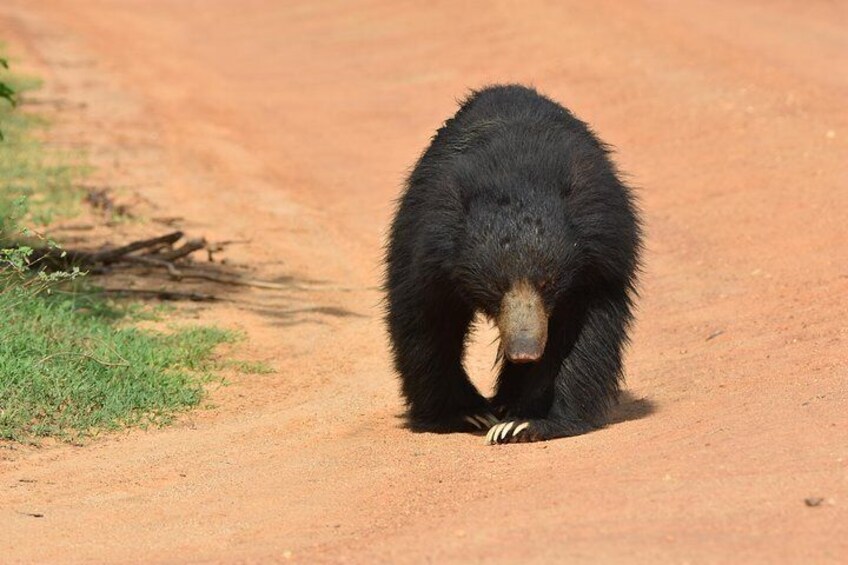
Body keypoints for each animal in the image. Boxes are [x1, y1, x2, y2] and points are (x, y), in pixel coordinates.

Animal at [386, 85, 644, 446]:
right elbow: (426, 320)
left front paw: (526, 423)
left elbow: (586, 336)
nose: (524, 352)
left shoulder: (601, 255)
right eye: (496, 286)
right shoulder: (425, 244)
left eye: (548, 282)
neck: (517, 180)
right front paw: (468, 414)